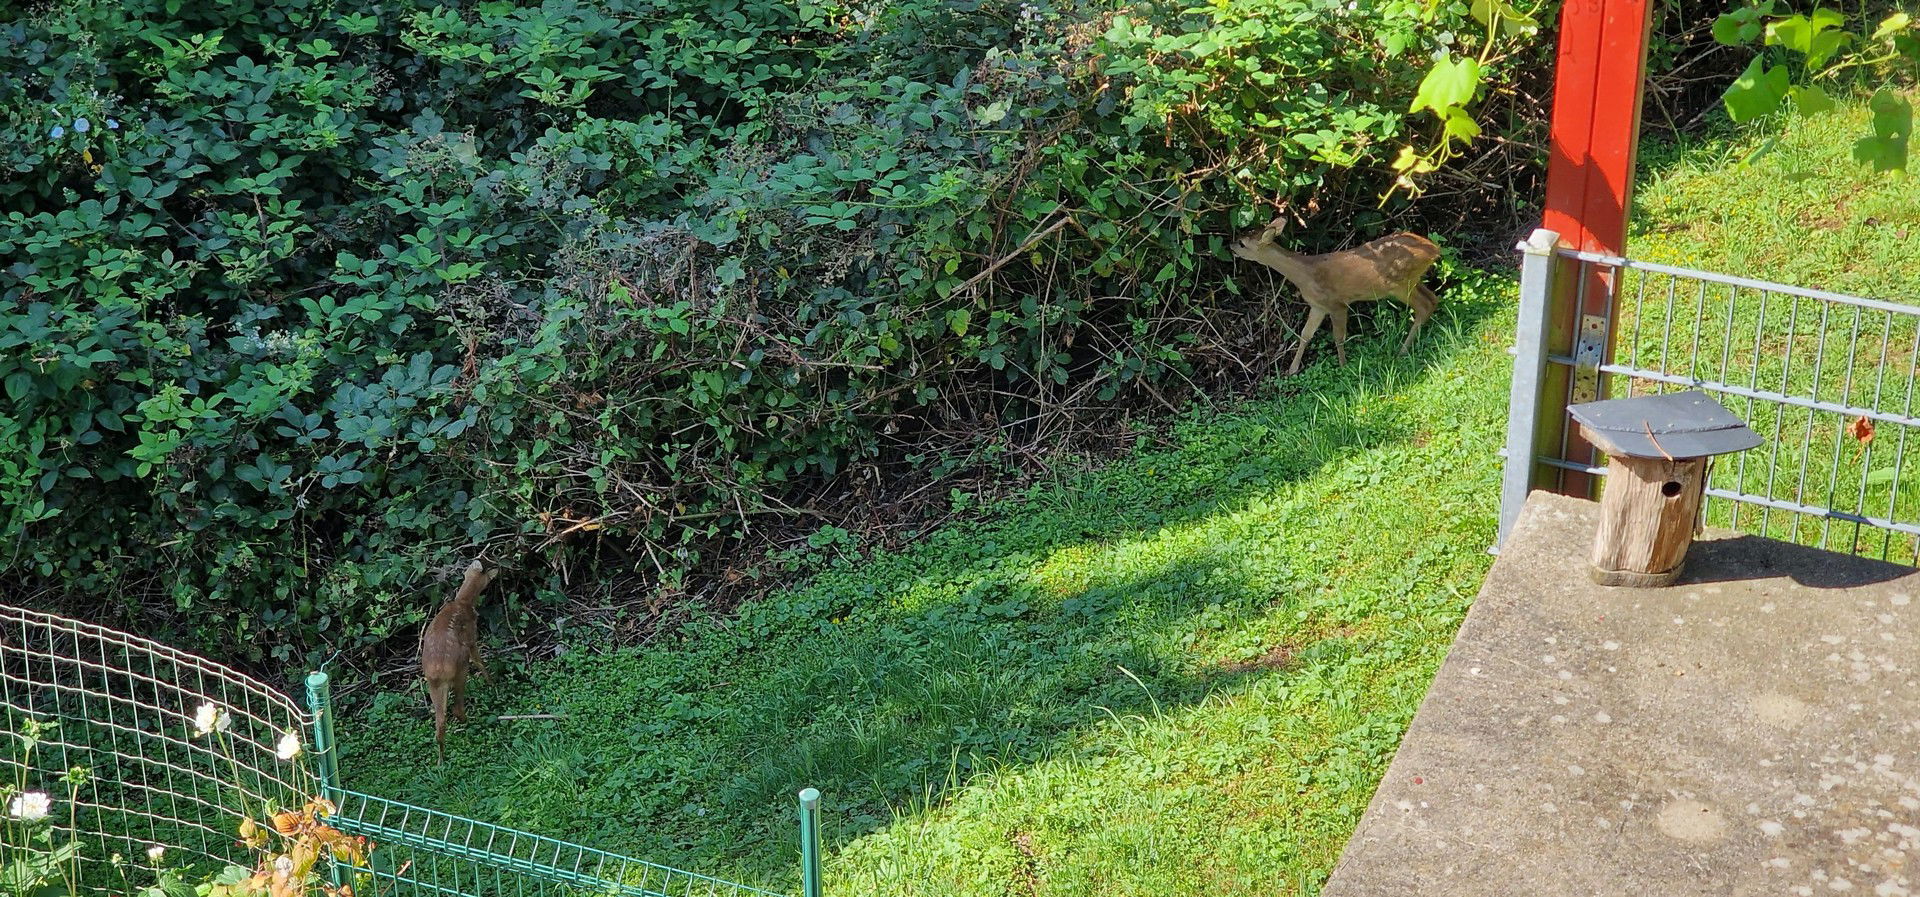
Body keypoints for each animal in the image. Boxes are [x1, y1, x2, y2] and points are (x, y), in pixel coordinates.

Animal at [420, 560, 495, 764]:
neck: (463, 602)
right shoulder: (471, 637)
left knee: (440, 723)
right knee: (457, 709)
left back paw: (440, 761)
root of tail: (439, 670)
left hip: (433, 684)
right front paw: (492, 683)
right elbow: (479, 660)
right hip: (461, 668)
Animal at [1228, 228, 1443, 378]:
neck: (1305, 274)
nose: (1230, 246)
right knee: (1433, 299)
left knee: (1423, 306)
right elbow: (1305, 334)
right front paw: (1292, 369)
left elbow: (1338, 337)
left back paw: (1401, 351)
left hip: (1400, 283)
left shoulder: (1336, 304)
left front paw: (1343, 365)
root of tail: (1434, 249)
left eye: (1242, 243)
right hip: (1412, 280)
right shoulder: (1318, 306)